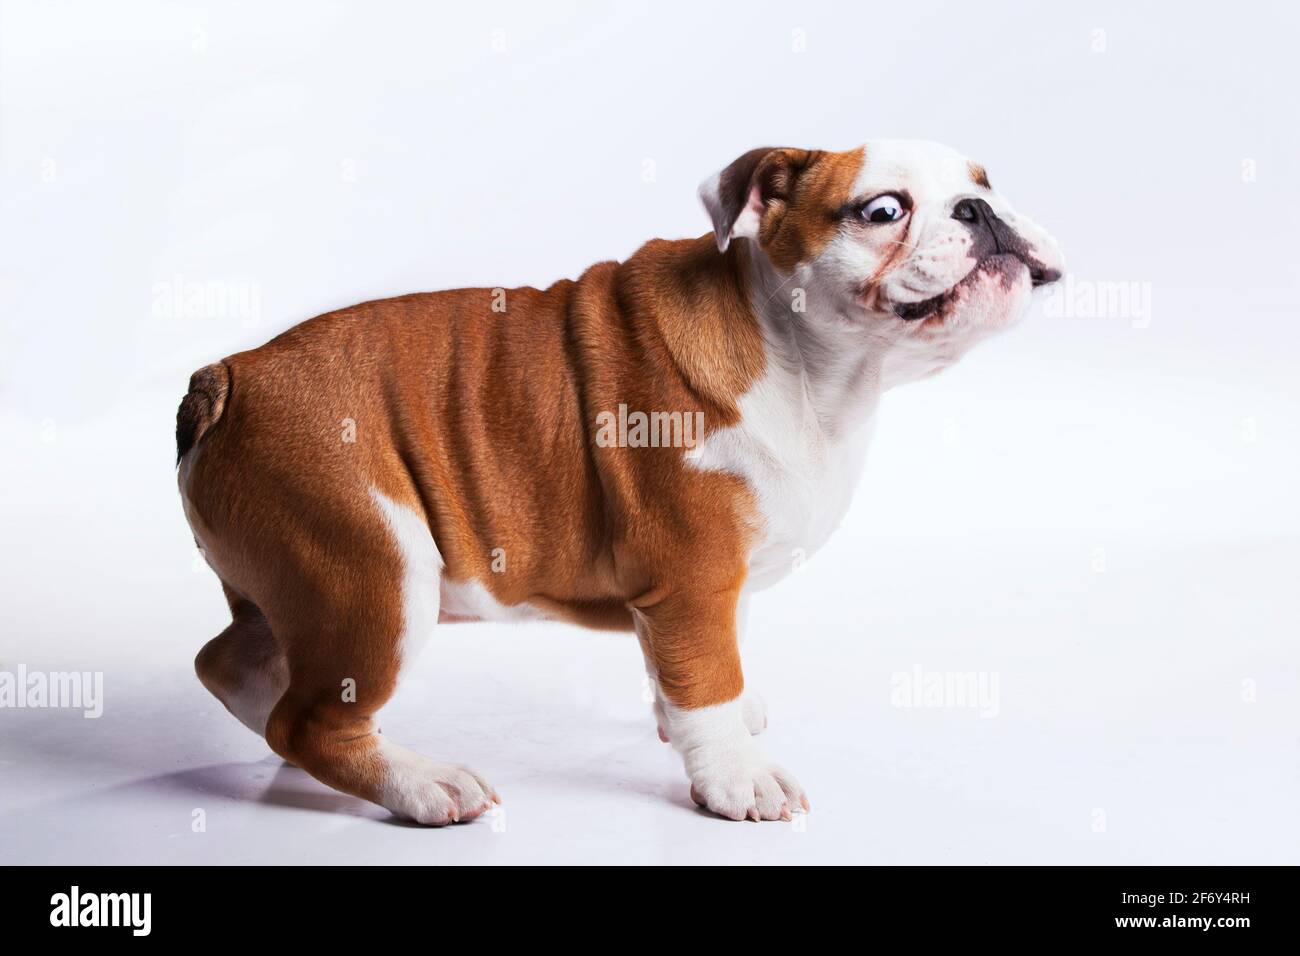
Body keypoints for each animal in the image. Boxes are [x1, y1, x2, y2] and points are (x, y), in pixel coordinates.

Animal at [178, 140, 1060, 822]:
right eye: (882, 210)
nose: (980, 211)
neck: (810, 365)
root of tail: (229, 378)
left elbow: (702, 660)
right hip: (371, 574)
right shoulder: (695, 576)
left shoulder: (707, 585)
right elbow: (707, 674)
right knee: (309, 722)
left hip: (299, 584)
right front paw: (736, 779)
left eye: (983, 182)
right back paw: (425, 784)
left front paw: (710, 723)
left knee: (233, 667)